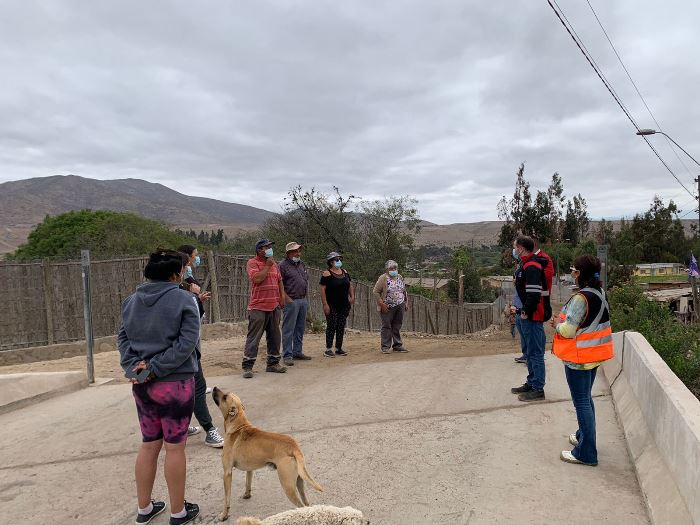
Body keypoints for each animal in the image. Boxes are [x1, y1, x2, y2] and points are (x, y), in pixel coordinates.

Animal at [212, 384, 324, 520]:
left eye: (224, 397)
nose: (214, 387)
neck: (238, 425)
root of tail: (293, 446)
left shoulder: (227, 473)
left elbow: (226, 499)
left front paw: (224, 515)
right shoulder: (250, 469)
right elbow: (248, 483)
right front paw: (247, 494)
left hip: (288, 486)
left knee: (301, 506)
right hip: (299, 481)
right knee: (307, 504)